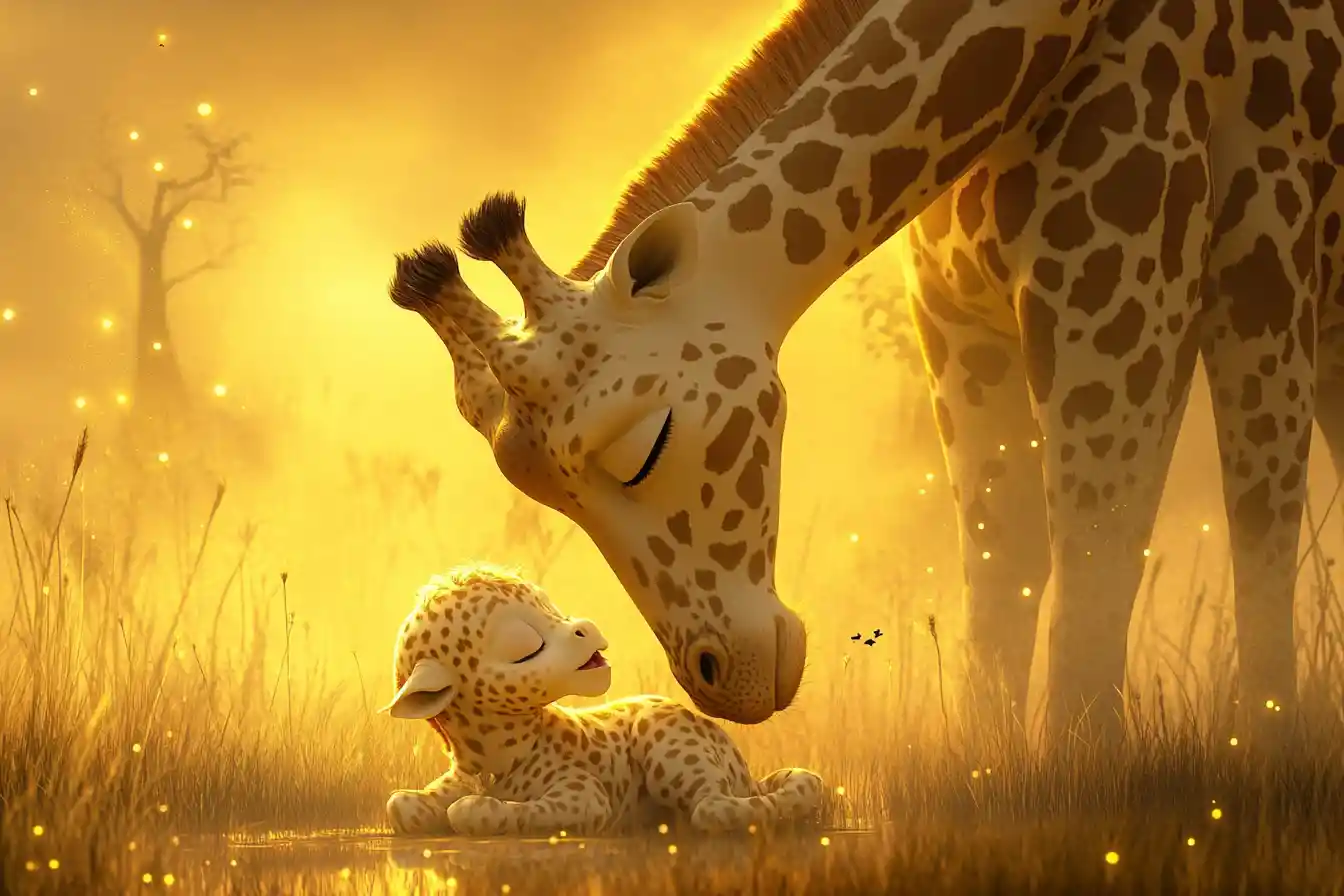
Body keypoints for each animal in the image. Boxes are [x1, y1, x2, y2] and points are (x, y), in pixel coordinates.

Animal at [387, 0, 1344, 743]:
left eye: (644, 445)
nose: (725, 682)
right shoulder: (960, 322)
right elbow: (1003, 565)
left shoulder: (1201, 281)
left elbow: (1163, 548)